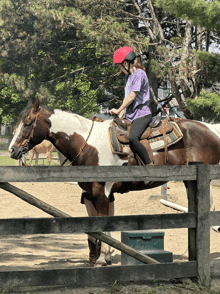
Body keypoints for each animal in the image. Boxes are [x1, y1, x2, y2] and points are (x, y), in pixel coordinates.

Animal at [8, 99, 220, 266]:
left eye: (28, 123)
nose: (12, 150)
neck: (87, 143)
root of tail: (211, 129)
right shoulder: (93, 193)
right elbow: (101, 223)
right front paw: (106, 256)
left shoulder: (101, 191)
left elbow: (103, 222)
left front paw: (102, 258)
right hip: (190, 181)